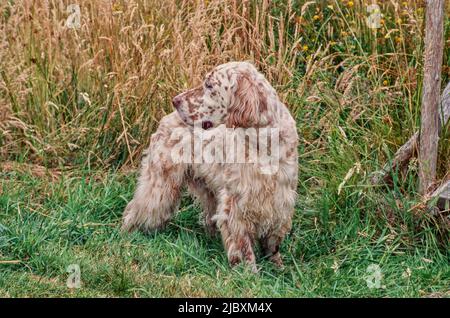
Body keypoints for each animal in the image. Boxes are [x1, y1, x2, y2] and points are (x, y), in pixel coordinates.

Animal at [122, 60, 298, 270]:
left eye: (209, 85)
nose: (176, 100)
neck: (263, 144)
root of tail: (167, 117)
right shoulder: (236, 203)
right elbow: (243, 245)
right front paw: (249, 271)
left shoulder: (280, 201)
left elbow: (272, 242)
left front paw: (277, 267)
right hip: (160, 186)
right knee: (139, 208)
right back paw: (127, 234)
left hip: (208, 190)